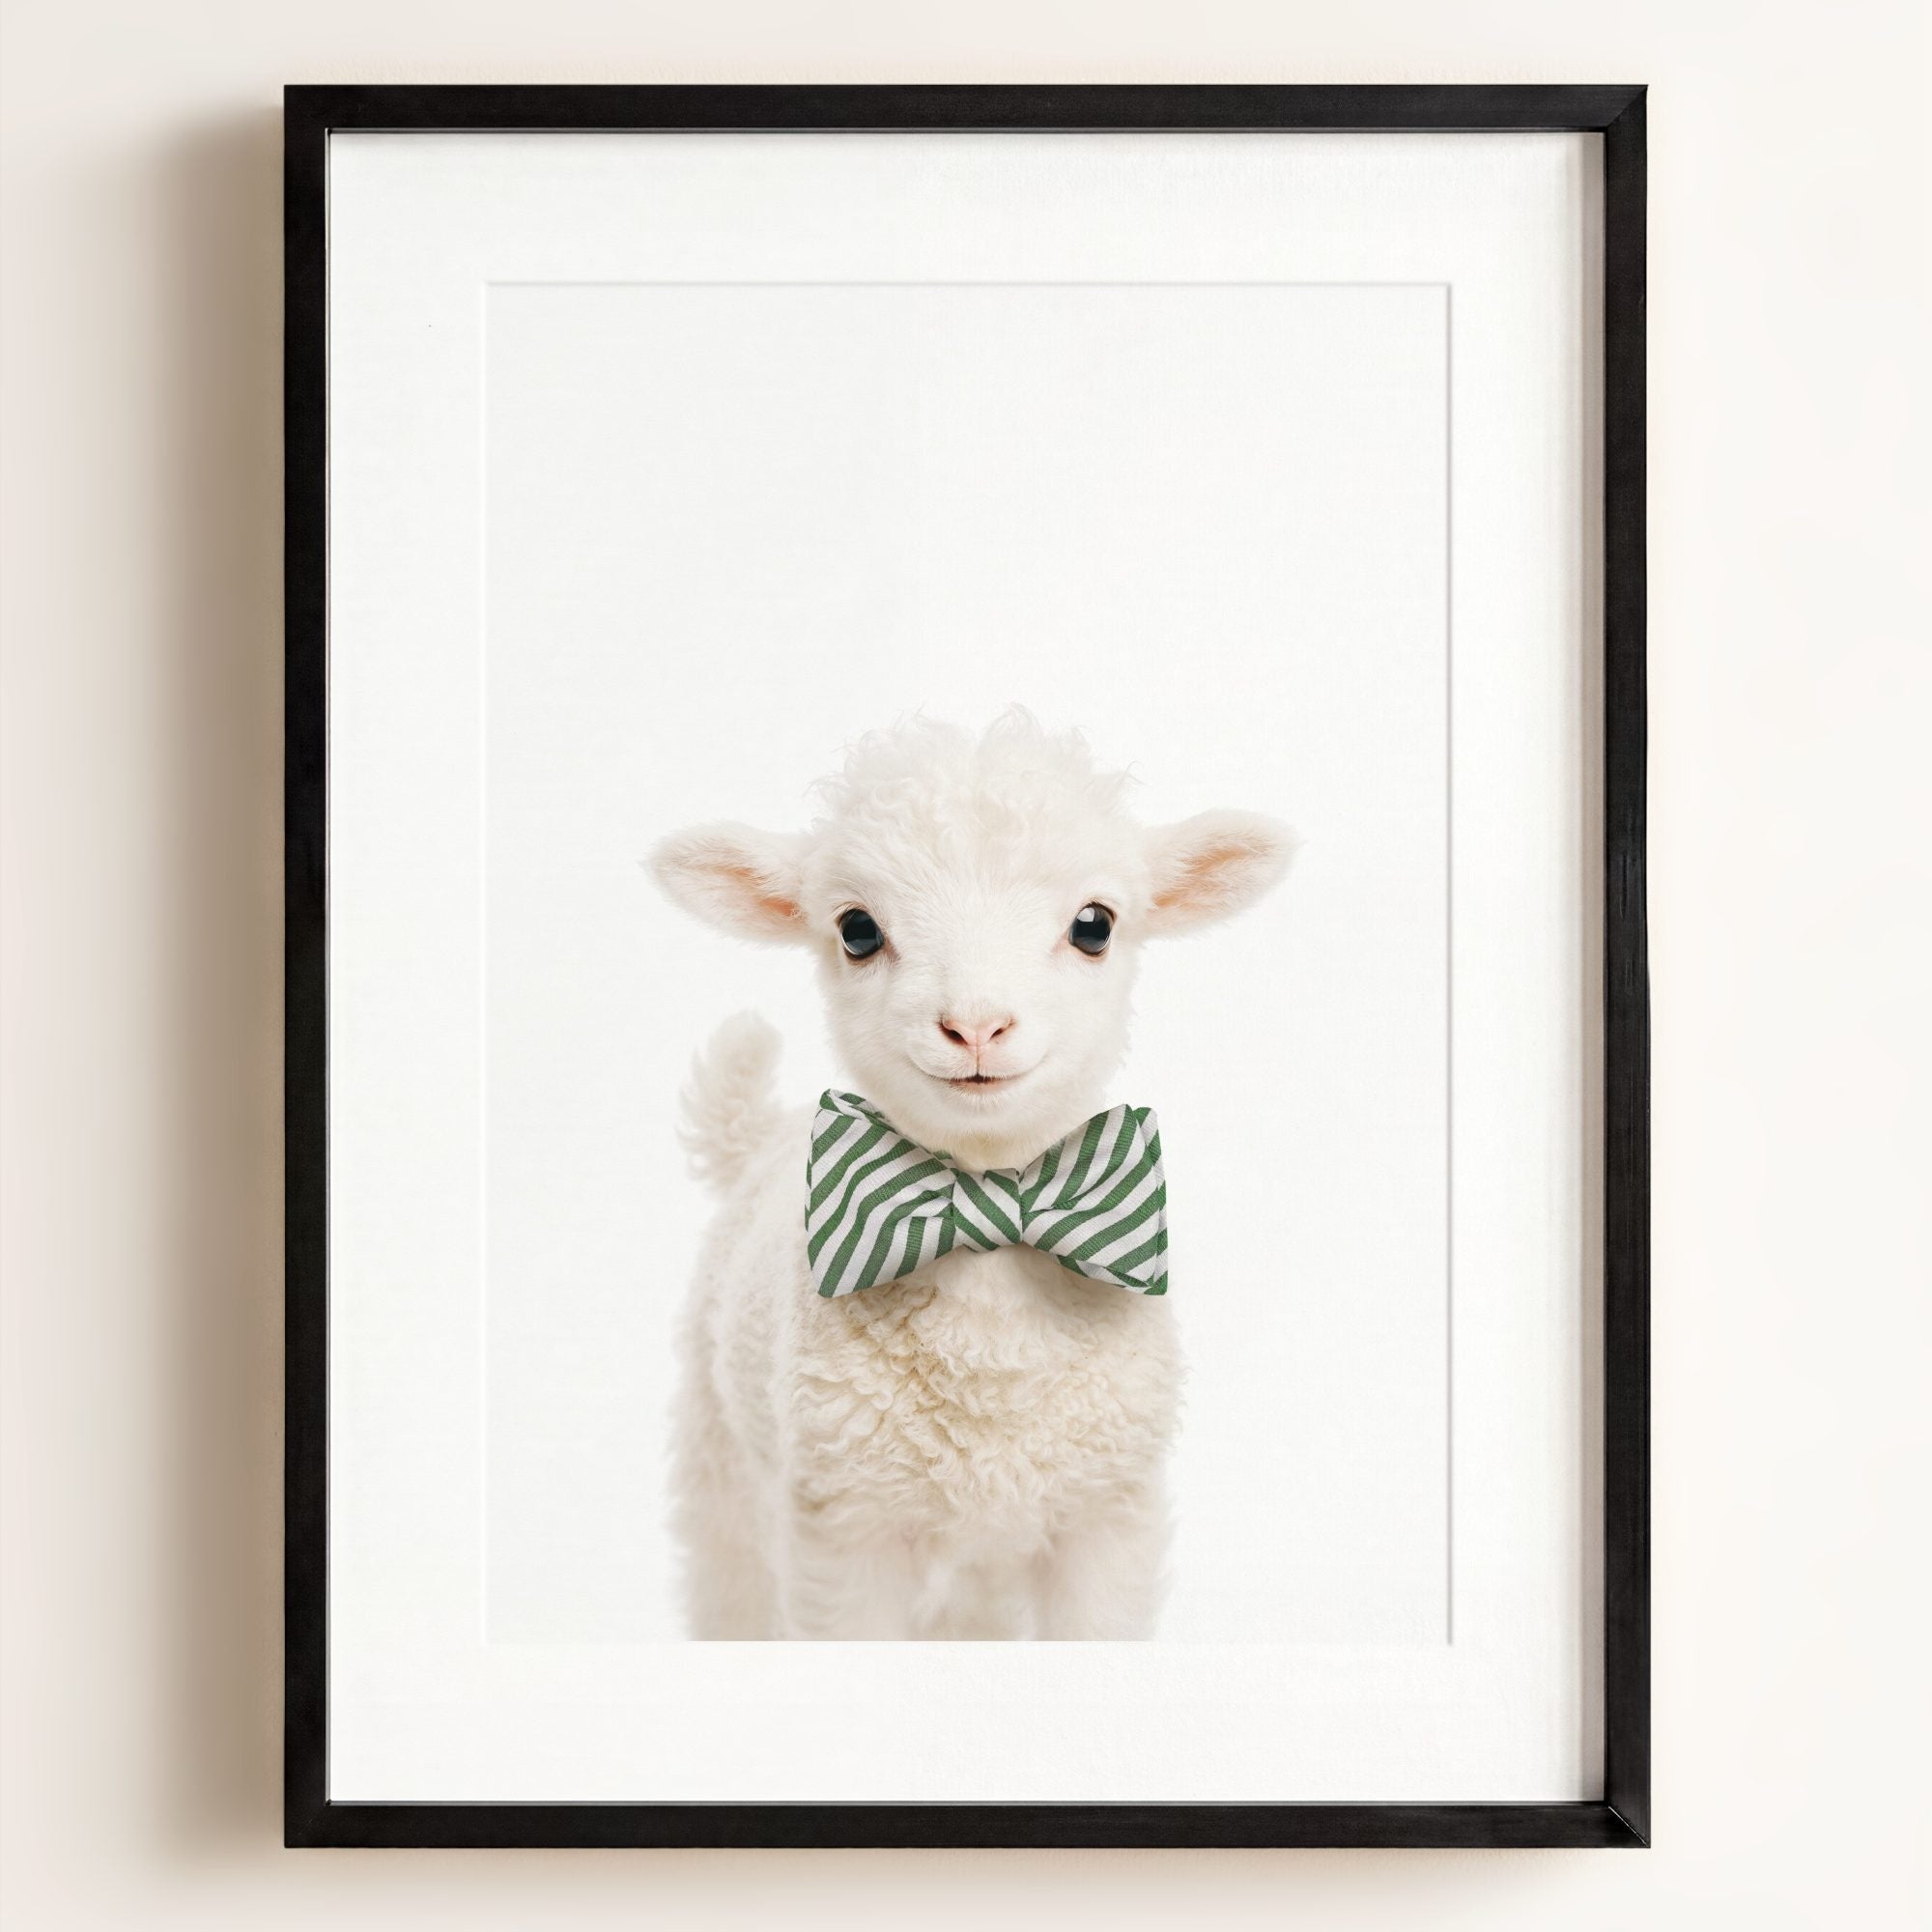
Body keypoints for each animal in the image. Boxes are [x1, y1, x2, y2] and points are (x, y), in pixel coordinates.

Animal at [649, 711, 1294, 1639]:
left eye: (1095, 925)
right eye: (857, 930)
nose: (977, 1025)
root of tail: (759, 1137)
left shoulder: (1107, 1517)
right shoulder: (844, 1529)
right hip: (724, 1465)